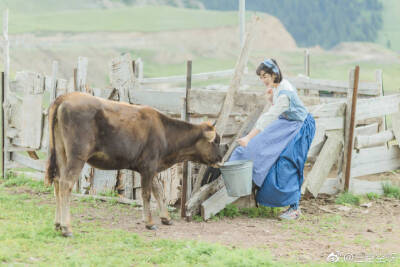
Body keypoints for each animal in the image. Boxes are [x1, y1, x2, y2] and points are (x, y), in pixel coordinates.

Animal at [44, 91, 227, 237]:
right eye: (216, 141)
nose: (222, 156)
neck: (164, 132)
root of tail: (66, 96)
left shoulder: (151, 167)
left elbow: (159, 191)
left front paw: (166, 218)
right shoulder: (149, 166)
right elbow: (146, 194)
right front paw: (150, 223)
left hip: (61, 154)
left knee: (57, 183)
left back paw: (57, 224)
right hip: (77, 156)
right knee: (66, 184)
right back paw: (67, 228)